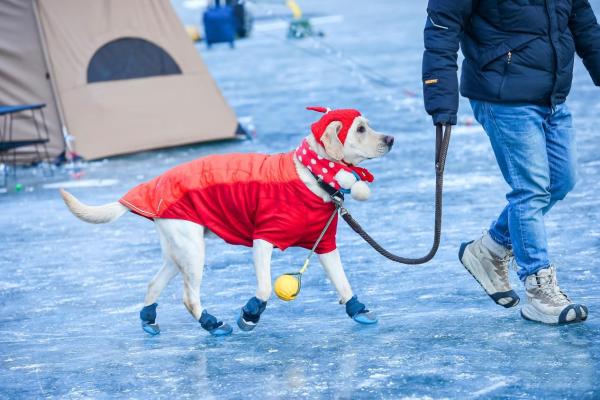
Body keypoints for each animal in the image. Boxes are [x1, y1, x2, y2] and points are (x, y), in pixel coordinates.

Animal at [61, 108, 394, 336]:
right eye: (361, 128)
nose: (391, 139)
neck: (313, 174)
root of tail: (154, 185)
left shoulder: (325, 245)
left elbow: (343, 283)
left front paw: (358, 310)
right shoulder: (263, 240)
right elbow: (264, 289)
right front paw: (250, 314)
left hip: (178, 252)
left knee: (154, 284)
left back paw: (148, 320)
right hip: (193, 252)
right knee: (188, 297)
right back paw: (212, 325)